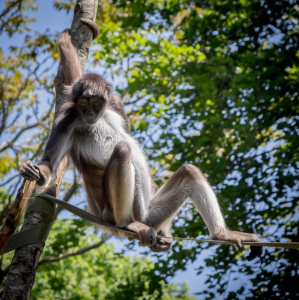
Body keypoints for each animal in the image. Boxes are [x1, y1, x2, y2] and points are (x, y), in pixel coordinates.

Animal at [18, 20, 264, 260]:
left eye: (95, 103)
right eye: (83, 104)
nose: (89, 114)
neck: (99, 116)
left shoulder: (115, 103)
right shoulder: (68, 117)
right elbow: (49, 163)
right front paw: (38, 172)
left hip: (152, 214)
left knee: (188, 171)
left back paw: (221, 234)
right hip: (124, 213)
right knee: (123, 150)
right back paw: (128, 224)